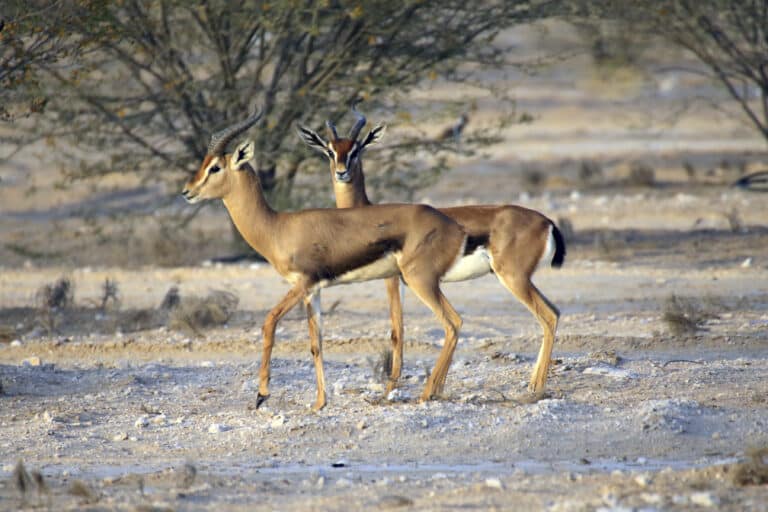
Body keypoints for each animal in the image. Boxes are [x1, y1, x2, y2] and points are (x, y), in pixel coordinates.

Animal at [182, 109, 472, 411]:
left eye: (215, 167)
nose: (187, 191)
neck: (277, 227)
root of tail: (453, 225)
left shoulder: (301, 284)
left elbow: (269, 322)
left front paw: (262, 394)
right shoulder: (313, 291)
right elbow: (316, 343)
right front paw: (319, 402)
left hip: (419, 281)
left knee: (452, 323)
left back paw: (426, 394)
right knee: (452, 325)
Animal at [298, 107, 566, 395]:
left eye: (356, 149)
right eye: (330, 150)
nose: (342, 172)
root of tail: (547, 222)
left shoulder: (392, 280)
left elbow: (397, 330)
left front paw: (391, 385)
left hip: (512, 277)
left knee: (547, 315)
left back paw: (535, 386)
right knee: (553, 312)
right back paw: (531, 382)